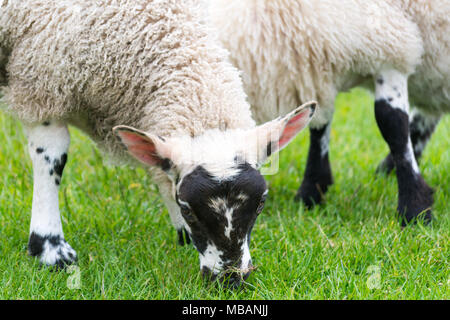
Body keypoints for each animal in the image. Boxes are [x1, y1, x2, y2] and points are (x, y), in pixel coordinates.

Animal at [0, 0, 316, 284]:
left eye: (261, 203)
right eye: (187, 208)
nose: (230, 279)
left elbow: (162, 171)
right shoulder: (42, 81)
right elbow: (52, 158)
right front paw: (49, 248)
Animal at [208, 0, 450, 225]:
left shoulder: (390, 47)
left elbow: (392, 125)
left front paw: (415, 209)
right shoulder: (313, 67)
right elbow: (318, 125)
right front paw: (311, 192)